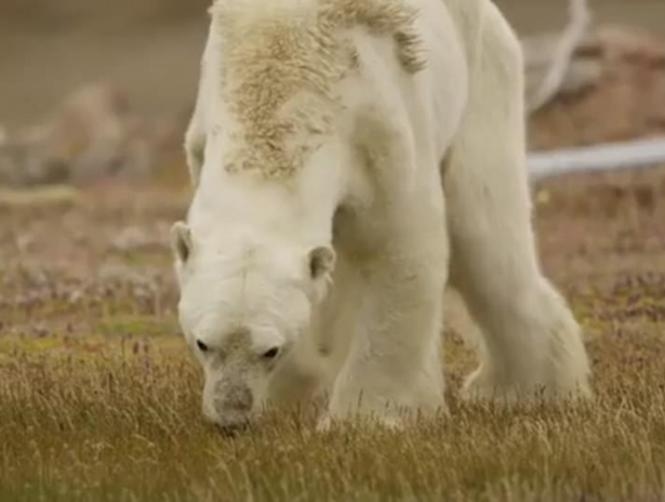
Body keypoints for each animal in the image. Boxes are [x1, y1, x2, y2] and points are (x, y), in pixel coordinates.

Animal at [172, 0, 591, 431]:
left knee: (485, 244)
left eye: (270, 349)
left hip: (481, 86)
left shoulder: (377, 126)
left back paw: (522, 389)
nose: (231, 418)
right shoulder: (204, 125)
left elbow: (399, 248)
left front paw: (364, 418)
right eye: (203, 343)